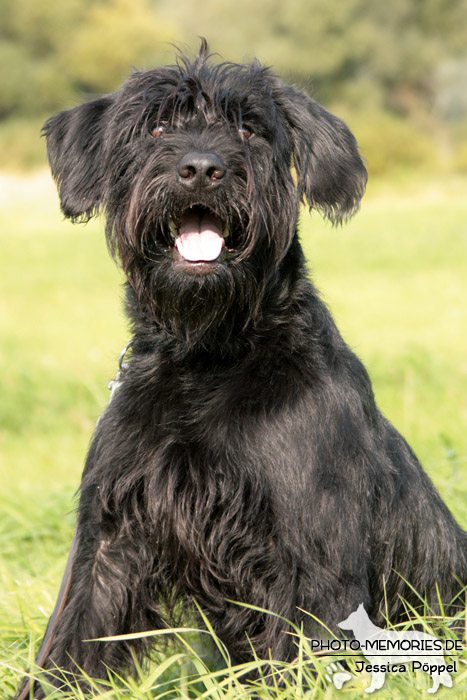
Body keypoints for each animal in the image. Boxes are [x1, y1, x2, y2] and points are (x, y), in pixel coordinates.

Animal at [16, 42, 466, 696]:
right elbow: (71, 643)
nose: (203, 169)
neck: (206, 358)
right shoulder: (108, 542)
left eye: (248, 129)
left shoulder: (312, 552)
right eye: (156, 126)